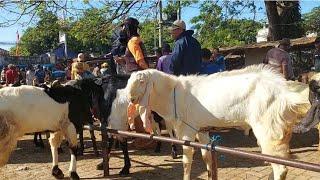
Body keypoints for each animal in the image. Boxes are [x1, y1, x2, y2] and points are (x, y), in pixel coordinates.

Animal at [125, 64, 310, 180]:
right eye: (129, 81)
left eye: (141, 81)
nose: (129, 98)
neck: (174, 94)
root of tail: (285, 92)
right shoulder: (201, 129)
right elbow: (206, 157)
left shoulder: (187, 131)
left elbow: (186, 162)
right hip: (281, 130)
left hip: (268, 130)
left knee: (280, 168)